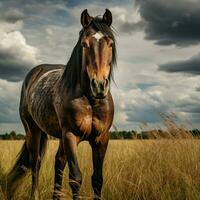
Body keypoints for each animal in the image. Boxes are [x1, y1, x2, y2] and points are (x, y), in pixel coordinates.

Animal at [6, 8, 115, 199]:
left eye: (110, 43)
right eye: (84, 44)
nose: (99, 85)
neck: (91, 100)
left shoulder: (101, 139)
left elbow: (97, 179)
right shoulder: (70, 135)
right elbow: (75, 178)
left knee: (58, 162)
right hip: (33, 130)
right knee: (36, 163)